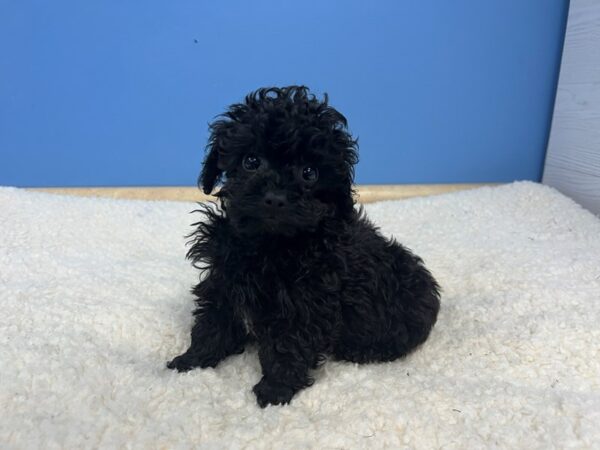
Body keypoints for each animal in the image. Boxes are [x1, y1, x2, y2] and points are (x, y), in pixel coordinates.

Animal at [169, 86, 440, 406]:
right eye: (251, 161)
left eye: (309, 173)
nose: (275, 197)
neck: (270, 244)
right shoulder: (224, 280)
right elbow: (213, 323)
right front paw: (191, 361)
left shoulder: (305, 302)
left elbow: (288, 345)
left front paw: (275, 389)